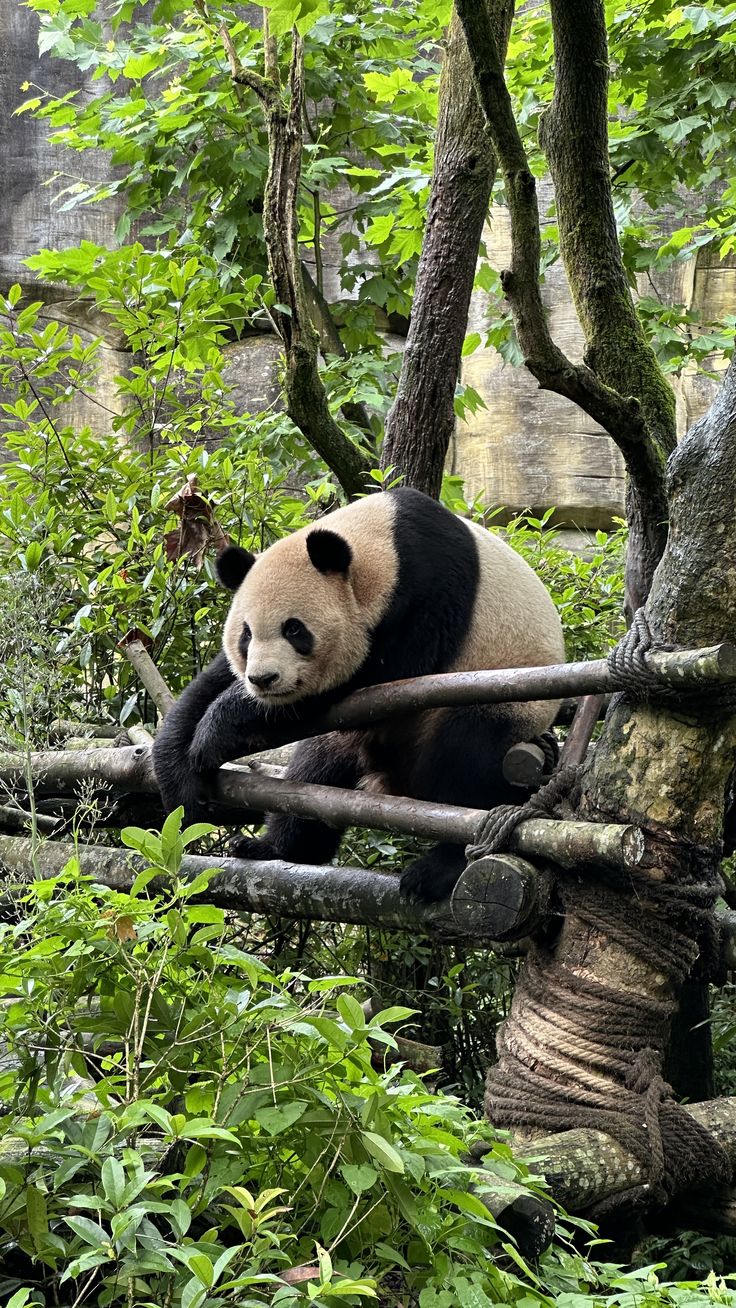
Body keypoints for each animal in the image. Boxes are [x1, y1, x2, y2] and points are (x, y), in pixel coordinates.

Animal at [153, 486, 565, 903]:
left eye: (294, 630)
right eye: (246, 634)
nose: (263, 679)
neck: (382, 546)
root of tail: (396, 781)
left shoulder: (432, 589)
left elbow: (378, 672)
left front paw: (217, 730)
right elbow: (210, 683)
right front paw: (181, 775)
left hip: (502, 699)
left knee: (468, 759)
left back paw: (438, 870)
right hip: (348, 741)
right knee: (314, 773)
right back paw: (274, 846)